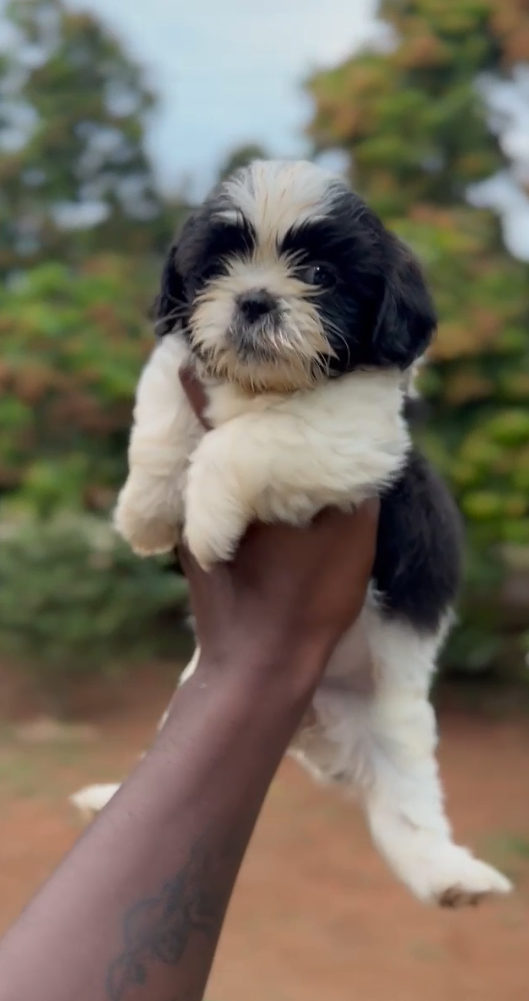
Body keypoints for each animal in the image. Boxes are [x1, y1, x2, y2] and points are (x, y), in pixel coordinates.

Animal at [76, 160, 510, 907]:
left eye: (319, 273)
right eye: (218, 264)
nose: (254, 299)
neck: (261, 386)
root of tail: (312, 722)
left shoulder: (355, 435)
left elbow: (251, 440)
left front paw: (205, 520)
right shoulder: (180, 365)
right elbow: (162, 411)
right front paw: (146, 511)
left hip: (394, 718)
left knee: (404, 806)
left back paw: (451, 876)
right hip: (191, 691)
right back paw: (109, 798)